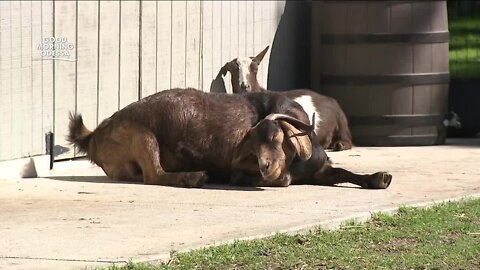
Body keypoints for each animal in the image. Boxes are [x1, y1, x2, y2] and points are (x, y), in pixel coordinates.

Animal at [68, 87, 390, 189]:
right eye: (252, 147)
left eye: (277, 137)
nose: (264, 167)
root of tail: (93, 136)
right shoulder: (241, 171)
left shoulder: (320, 169)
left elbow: (344, 171)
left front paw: (378, 177)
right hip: (142, 135)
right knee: (153, 175)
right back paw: (192, 177)